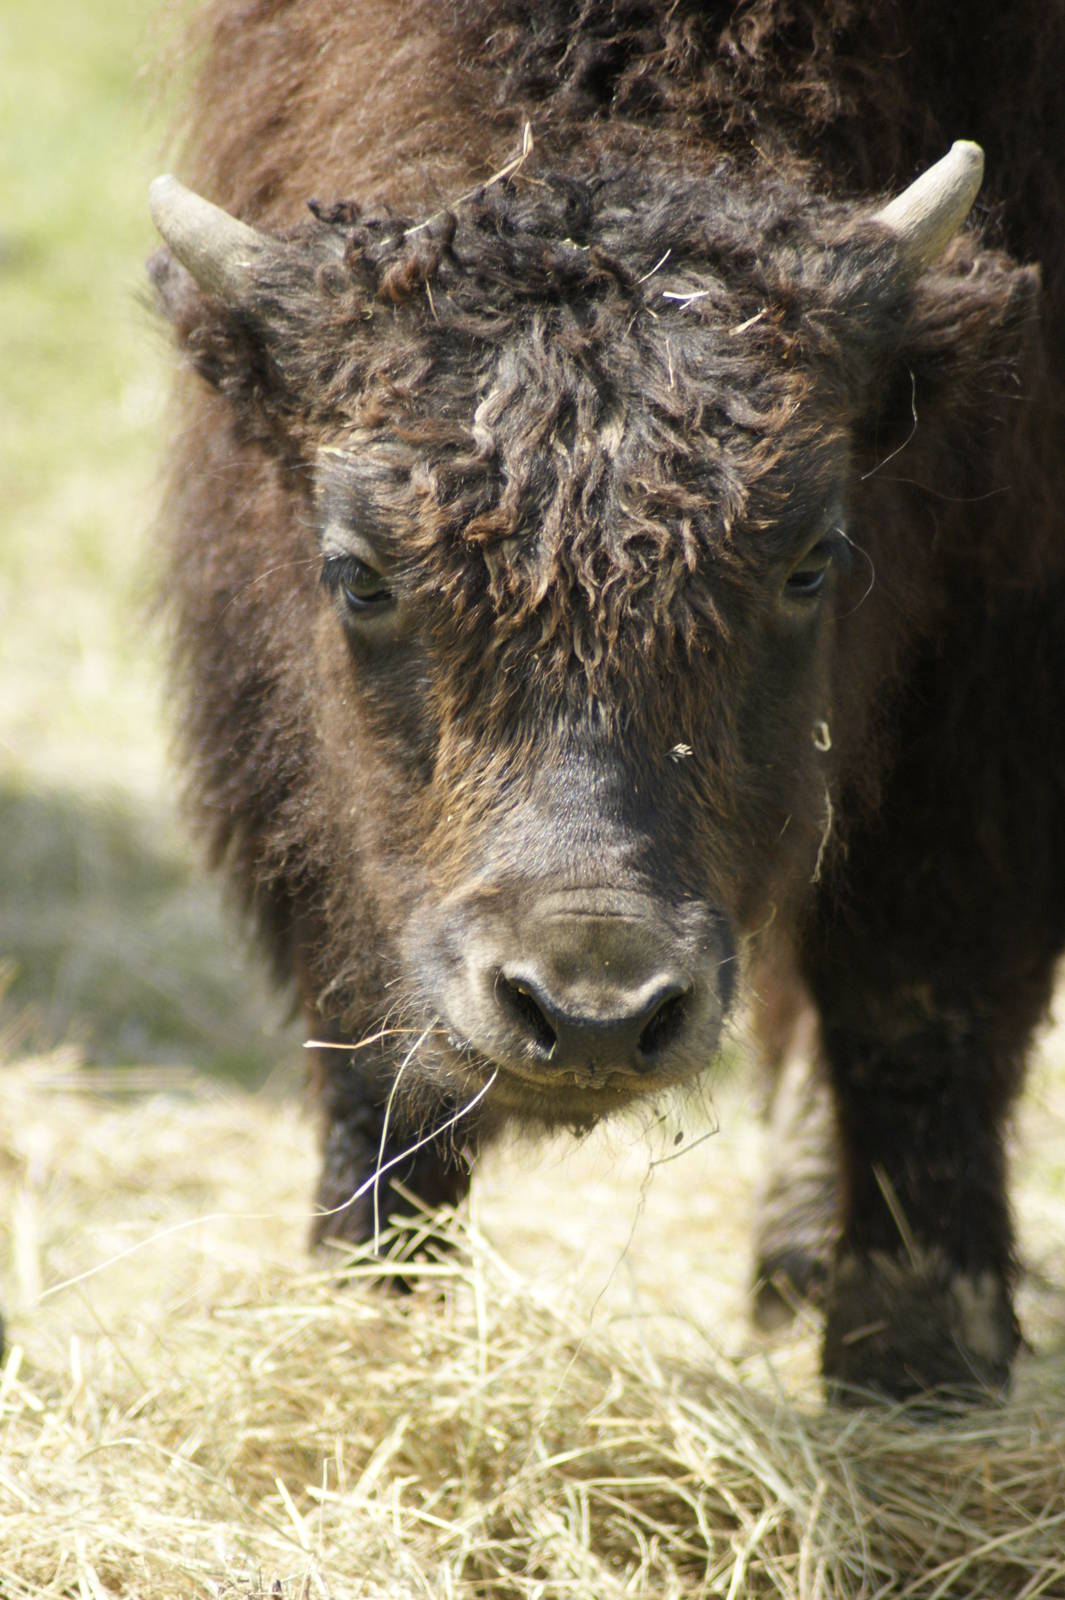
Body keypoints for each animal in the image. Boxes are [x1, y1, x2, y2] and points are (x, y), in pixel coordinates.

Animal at [147, 0, 1065, 1403]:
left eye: (811, 560)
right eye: (358, 572)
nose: (591, 1011)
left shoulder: (1002, 630)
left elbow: (920, 990)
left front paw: (919, 1366)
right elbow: (370, 1025)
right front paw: (374, 1327)